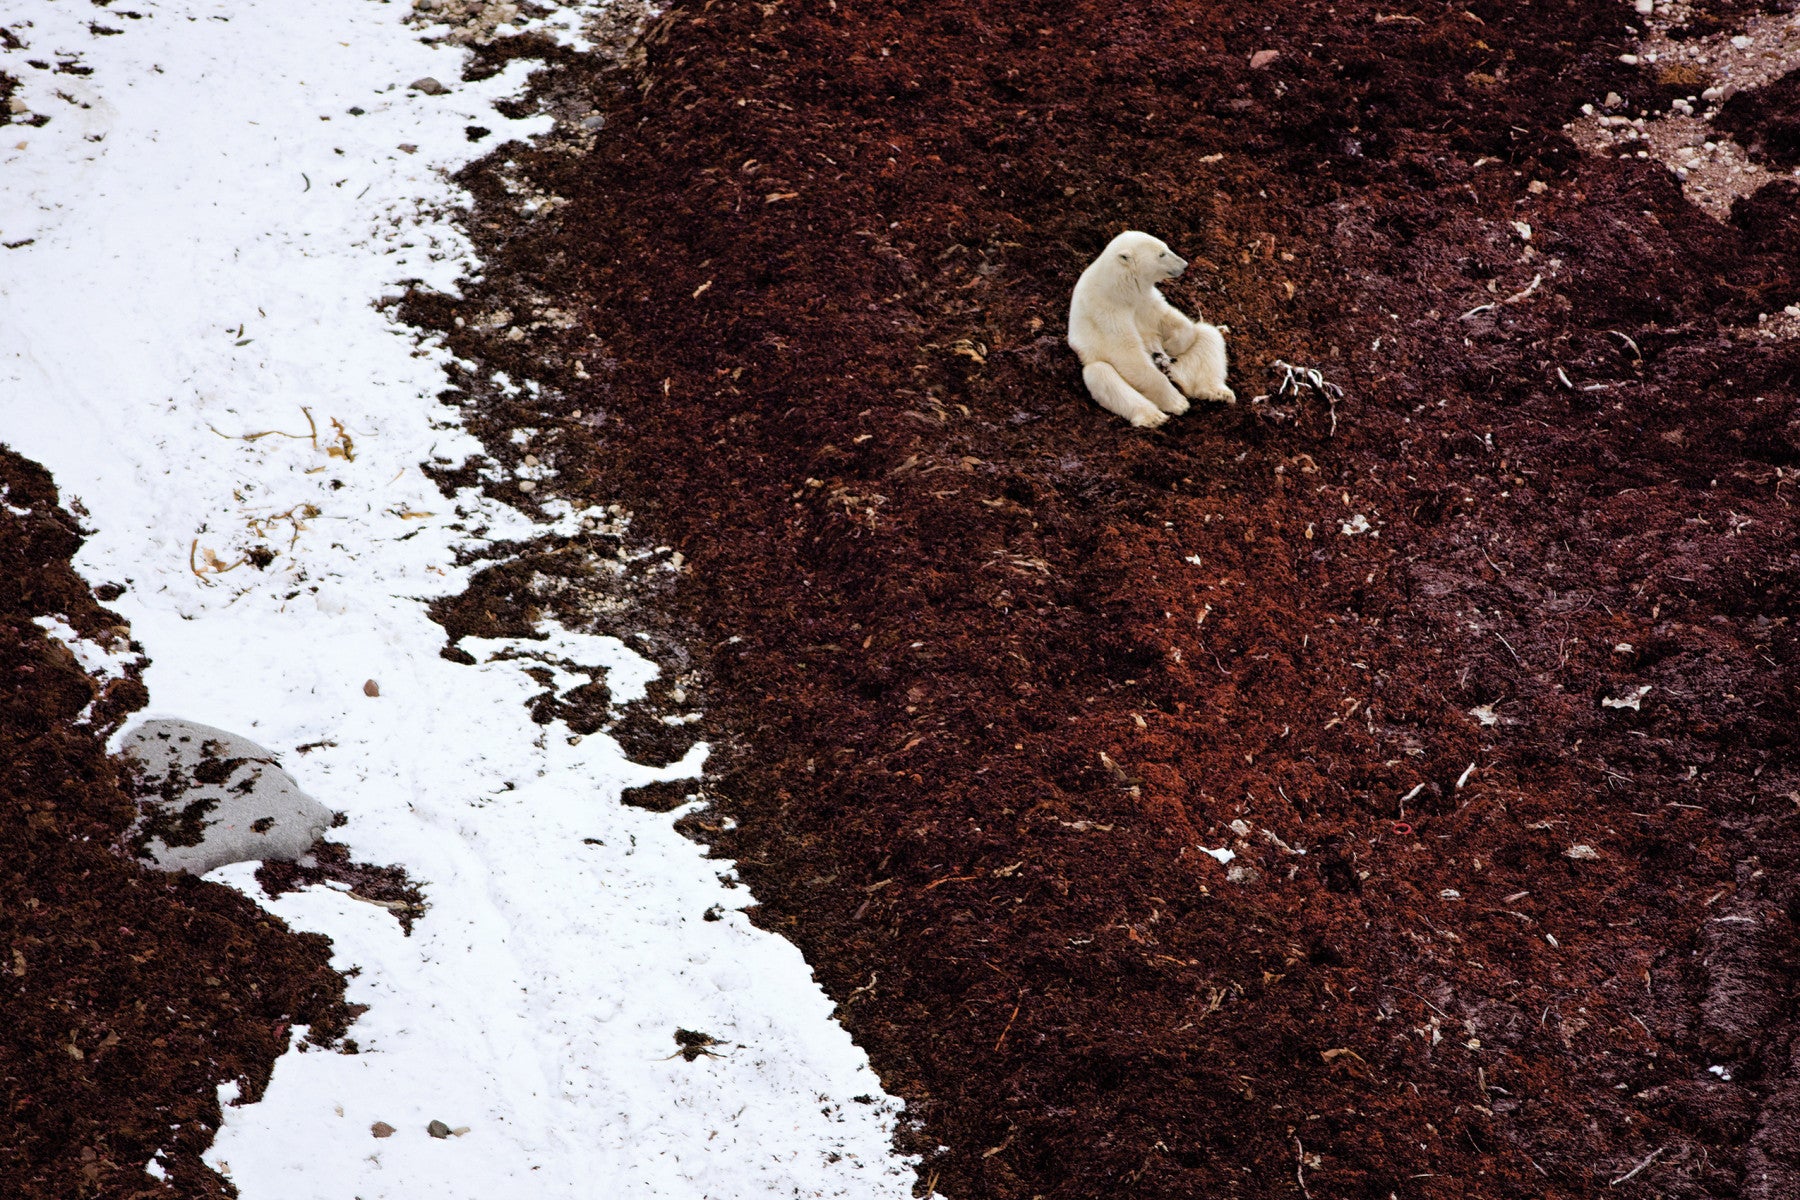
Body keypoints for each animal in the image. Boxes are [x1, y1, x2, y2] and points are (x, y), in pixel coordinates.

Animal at [1067, 230, 1234, 428]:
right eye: (1161, 254)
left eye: (1167, 247)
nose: (1185, 265)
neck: (1119, 290)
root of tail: (1180, 380)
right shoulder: (1106, 313)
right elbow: (1127, 354)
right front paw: (1178, 403)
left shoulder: (1144, 300)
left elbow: (1167, 318)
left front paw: (1170, 346)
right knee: (1100, 373)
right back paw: (1155, 415)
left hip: (1186, 365)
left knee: (1209, 335)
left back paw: (1217, 392)